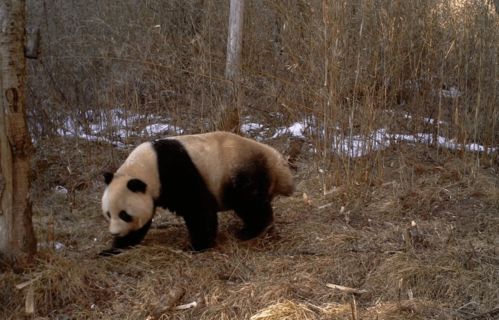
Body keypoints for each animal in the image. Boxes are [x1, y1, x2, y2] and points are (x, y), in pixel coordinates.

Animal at [101, 131, 294, 255]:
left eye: (124, 214)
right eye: (109, 214)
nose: (115, 233)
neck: (146, 167)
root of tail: (276, 161)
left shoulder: (175, 170)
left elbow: (198, 208)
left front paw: (196, 247)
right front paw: (112, 249)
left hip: (242, 171)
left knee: (250, 203)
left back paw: (250, 231)